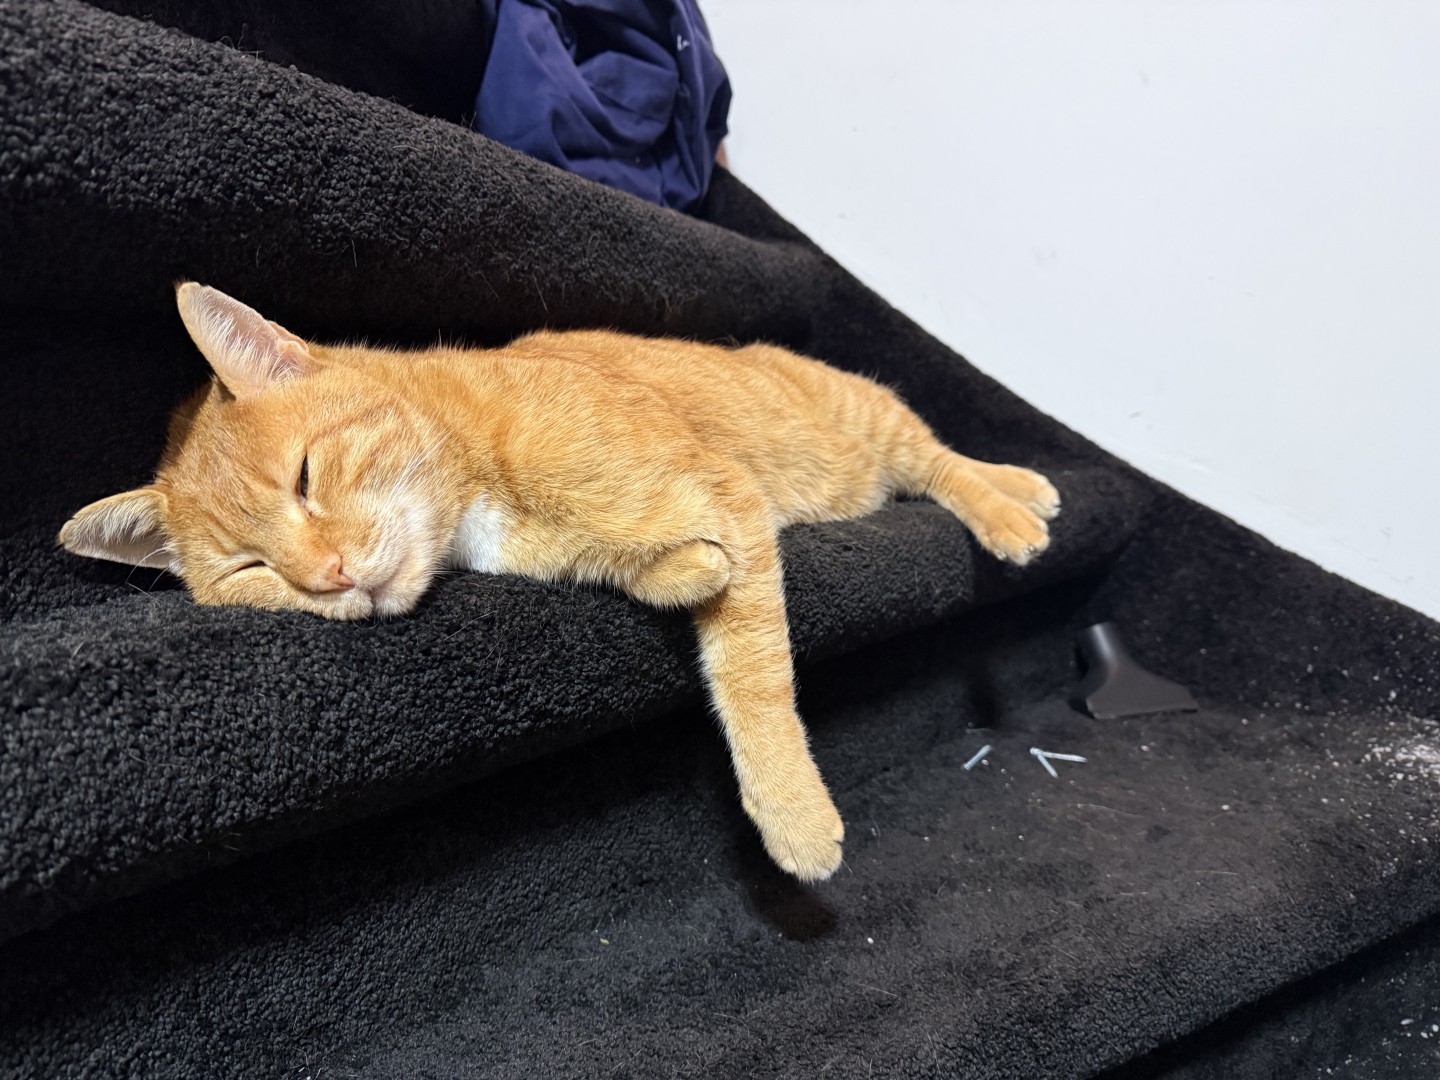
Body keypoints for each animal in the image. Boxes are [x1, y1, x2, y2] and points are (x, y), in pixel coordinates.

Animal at [60, 283, 1059, 881]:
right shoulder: (685, 521)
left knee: (940, 462)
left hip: (868, 422)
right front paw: (680, 568)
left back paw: (1017, 502)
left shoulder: (729, 493)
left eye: (305, 477)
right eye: (252, 570)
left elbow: (752, 678)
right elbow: (673, 571)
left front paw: (794, 817)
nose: (328, 575)